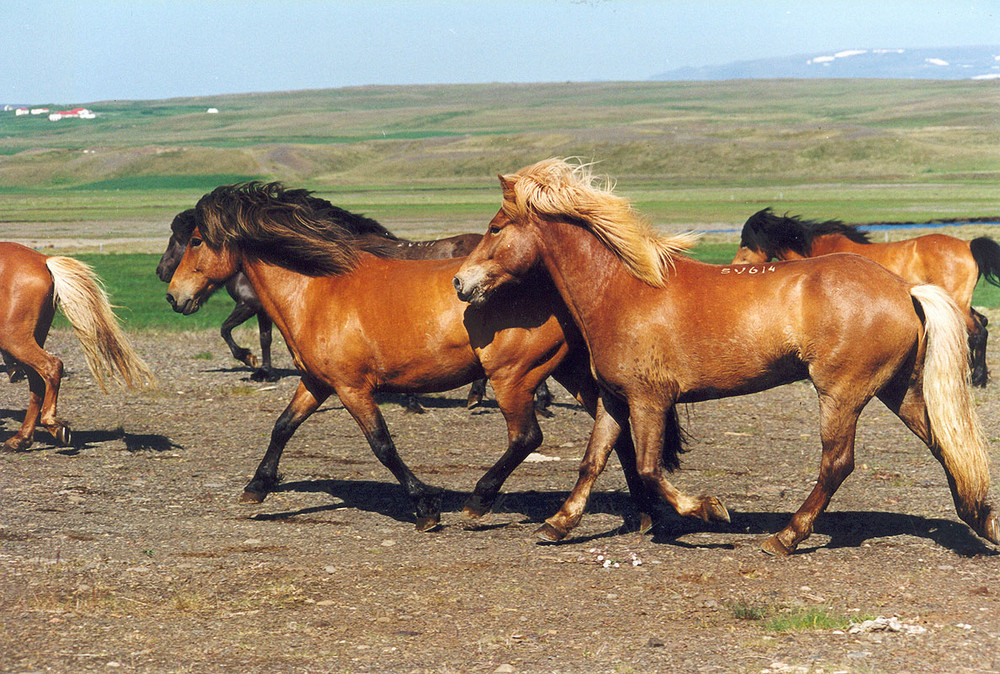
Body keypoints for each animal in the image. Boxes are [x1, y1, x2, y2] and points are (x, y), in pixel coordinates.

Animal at [0, 239, 154, 448]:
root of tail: (43, 260)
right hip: (30, 338)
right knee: (37, 382)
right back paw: (22, 438)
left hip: (13, 338)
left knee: (52, 366)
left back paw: (51, 425)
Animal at [164, 181, 656, 532]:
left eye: (194, 241)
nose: (172, 296)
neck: (318, 289)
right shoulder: (318, 383)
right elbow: (283, 426)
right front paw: (257, 487)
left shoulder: (352, 388)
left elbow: (382, 444)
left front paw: (425, 508)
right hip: (573, 372)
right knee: (615, 432)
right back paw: (643, 513)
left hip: (513, 376)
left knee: (526, 438)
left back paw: (478, 502)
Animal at [728, 205, 1000, 384]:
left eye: (746, 242)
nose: (734, 267)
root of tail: (967, 245)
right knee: (979, 325)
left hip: (957, 302)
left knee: (978, 332)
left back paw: (977, 377)